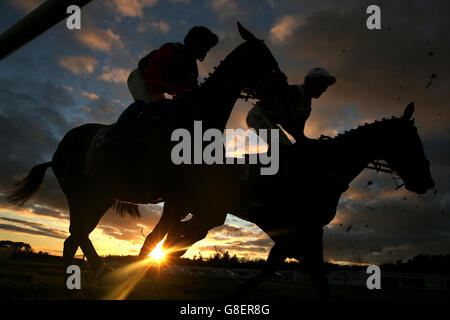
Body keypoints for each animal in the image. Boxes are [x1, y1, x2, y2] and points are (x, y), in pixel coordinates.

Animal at [6, 23, 292, 276]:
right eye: (268, 61)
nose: (286, 94)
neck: (194, 120)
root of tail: (57, 152)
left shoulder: (188, 197)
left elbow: (194, 226)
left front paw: (172, 247)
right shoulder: (179, 194)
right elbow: (167, 233)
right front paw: (156, 256)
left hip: (100, 196)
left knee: (74, 237)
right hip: (79, 193)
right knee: (76, 232)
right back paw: (101, 270)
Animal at [142, 103, 434, 300]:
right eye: (412, 141)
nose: (427, 181)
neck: (324, 168)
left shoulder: (298, 231)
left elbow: (298, 269)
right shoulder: (302, 228)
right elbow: (307, 271)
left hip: (197, 212)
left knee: (164, 238)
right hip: (200, 211)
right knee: (166, 239)